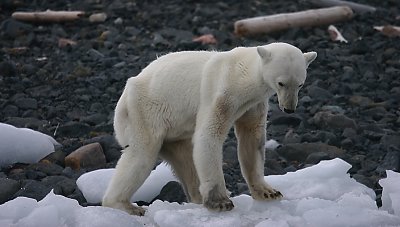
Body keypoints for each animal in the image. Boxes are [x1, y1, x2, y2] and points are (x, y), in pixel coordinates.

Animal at [102, 42, 316, 215]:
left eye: (300, 84)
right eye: (281, 83)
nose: (289, 108)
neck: (243, 74)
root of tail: (124, 98)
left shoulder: (254, 103)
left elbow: (252, 138)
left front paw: (268, 192)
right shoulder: (222, 92)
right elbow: (208, 135)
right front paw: (220, 202)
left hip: (174, 135)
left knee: (185, 160)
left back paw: (196, 196)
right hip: (145, 112)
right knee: (141, 155)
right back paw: (125, 205)